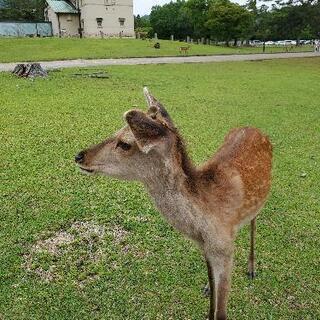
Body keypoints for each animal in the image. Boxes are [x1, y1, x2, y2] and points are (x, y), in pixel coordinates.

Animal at [75, 87, 272, 320]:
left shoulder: (224, 250)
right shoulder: (207, 249)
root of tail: (256, 129)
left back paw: (251, 268)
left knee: (254, 221)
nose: (79, 156)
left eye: (124, 143)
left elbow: (221, 312)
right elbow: (211, 300)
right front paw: (208, 288)